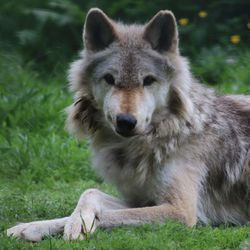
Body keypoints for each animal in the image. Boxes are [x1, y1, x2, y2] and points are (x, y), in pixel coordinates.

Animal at [6, 8, 250, 241]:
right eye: (109, 79)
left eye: (148, 80)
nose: (125, 121)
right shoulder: (140, 198)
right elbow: (90, 192)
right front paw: (31, 227)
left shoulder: (181, 211)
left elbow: (105, 214)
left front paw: (80, 224)